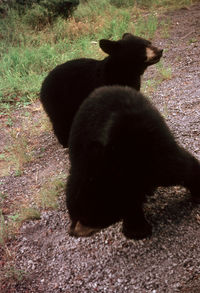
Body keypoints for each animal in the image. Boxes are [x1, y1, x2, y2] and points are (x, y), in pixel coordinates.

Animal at [66, 85, 200, 240]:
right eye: (74, 213)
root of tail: (103, 88)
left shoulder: (158, 153)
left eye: (84, 217)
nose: (72, 231)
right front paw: (137, 229)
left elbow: (182, 167)